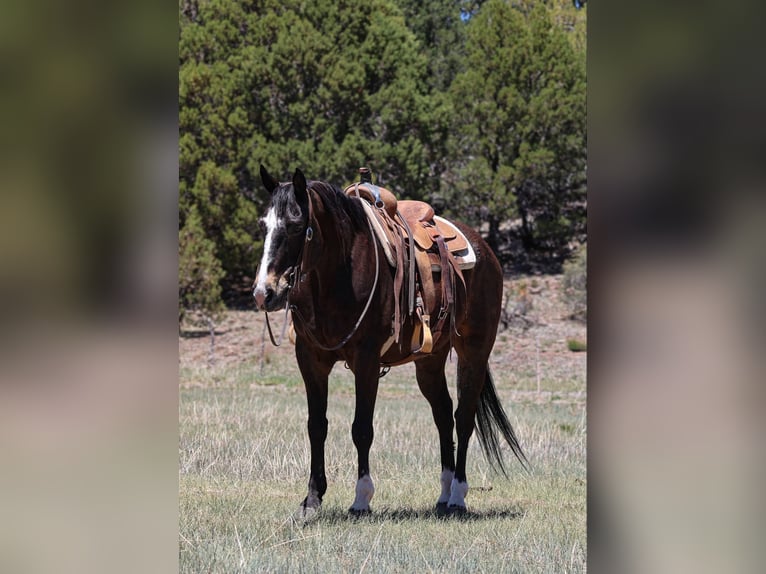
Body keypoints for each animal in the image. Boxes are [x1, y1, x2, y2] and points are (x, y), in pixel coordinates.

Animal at [253, 165, 528, 516]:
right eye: (264, 225)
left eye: (297, 225)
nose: (264, 292)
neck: (339, 275)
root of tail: (486, 250)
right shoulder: (311, 359)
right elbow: (317, 425)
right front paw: (312, 498)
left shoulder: (367, 361)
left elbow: (361, 428)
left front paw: (361, 498)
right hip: (430, 361)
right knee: (443, 414)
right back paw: (443, 494)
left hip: (474, 352)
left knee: (463, 416)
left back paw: (457, 495)